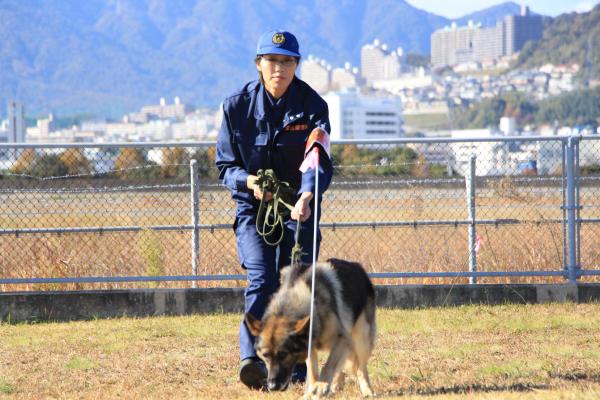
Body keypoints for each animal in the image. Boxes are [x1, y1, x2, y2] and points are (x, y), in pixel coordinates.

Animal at [245, 258, 376, 398]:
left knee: (361, 366)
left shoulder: (343, 339)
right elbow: (313, 370)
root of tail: (358, 267)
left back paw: (367, 390)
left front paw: (322, 384)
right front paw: (311, 391)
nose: (272, 386)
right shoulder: (310, 345)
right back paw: (337, 384)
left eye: (283, 354)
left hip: (361, 338)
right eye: (265, 355)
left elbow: (329, 365)